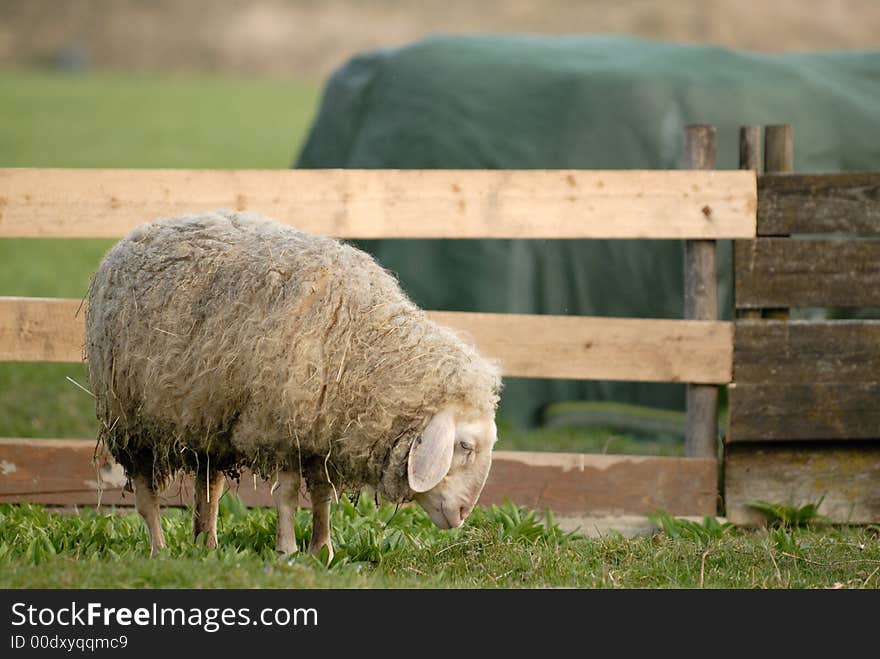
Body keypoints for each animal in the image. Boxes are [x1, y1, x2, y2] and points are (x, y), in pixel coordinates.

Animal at [87, 210, 508, 556]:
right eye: (465, 446)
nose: (463, 513)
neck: (360, 347)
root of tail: (139, 232)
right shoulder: (280, 429)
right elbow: (288, 496)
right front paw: (288, 551)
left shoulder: (321, 436)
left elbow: (322, 496)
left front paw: (323, 550)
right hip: (131, 419)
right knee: (147, 494)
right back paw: (159, 549)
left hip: (208, 416)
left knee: (209, 489)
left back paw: (207, 546)